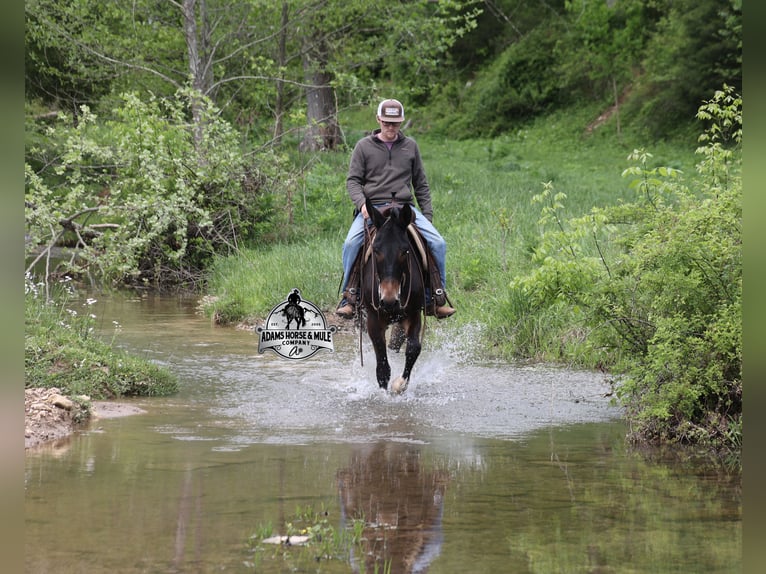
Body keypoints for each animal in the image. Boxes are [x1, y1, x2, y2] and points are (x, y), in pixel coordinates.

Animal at [359, 196, 426, 393]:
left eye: (405, 251)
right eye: (376, 250)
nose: (389, 301)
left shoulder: (413, 313)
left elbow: (413, 348)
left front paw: (400, 384)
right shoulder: (373, 318)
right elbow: (382, 365)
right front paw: (383, 393)